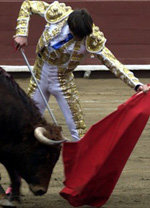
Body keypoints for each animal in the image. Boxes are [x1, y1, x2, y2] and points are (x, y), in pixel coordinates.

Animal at [0, 68, 65, 206]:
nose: (41, 190)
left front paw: (15, 198)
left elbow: (12, 170)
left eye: (56, 159)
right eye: (43, 156)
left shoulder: (8, 148)